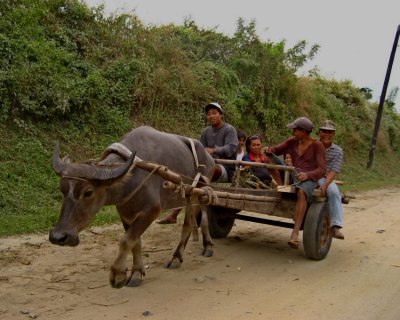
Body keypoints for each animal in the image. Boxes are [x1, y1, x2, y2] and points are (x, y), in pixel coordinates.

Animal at [50, 125, 216, 288]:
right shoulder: (125, 213)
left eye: (88, 192)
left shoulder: (152, 210)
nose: (58, 237)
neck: (131, 176)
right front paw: (136, 272)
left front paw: (118, 274)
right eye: (61, 188)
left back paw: (180, 256)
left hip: (198, 192)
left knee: (189, 224)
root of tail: (210, 159)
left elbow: (126, 240)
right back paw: (203, 247)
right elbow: (136, 242)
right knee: (201, 218)